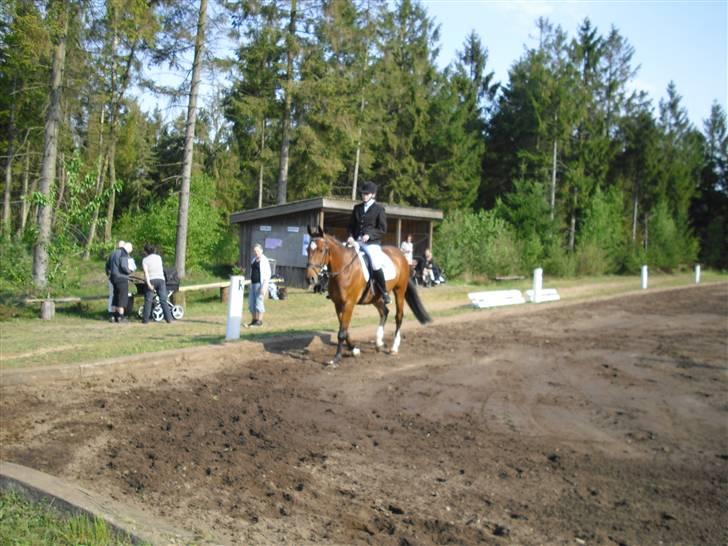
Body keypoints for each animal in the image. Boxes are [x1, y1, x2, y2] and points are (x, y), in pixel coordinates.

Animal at [306, 225, 432, 366]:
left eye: (321, 250)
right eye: (307, 249)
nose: (310, 279)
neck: (344, 268)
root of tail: (401, 255)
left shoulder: (349, 304)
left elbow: (342, 332)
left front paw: (336, 358)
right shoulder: (338, 304)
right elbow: (344, 329)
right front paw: (354, 350)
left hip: (399, 290)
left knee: (398, 316)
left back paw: (394, 347)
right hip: (375, 297)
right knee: (384, 312)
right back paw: (379, 342)